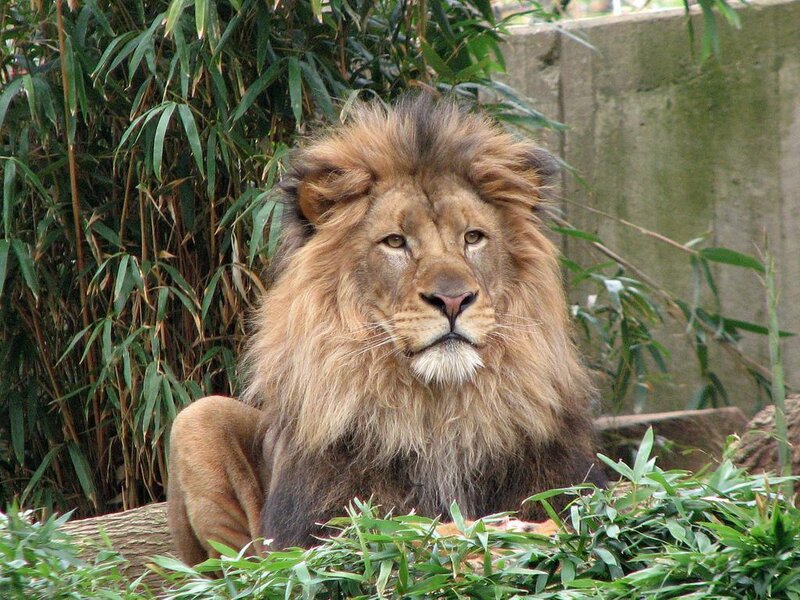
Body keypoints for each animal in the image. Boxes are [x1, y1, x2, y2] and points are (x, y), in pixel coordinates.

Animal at [167, 94, 605, 564]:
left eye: (473, 237)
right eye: (395, 242)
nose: (453, 300)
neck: (438, 413)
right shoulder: (313, 533)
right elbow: (398, 531)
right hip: (197, 421)